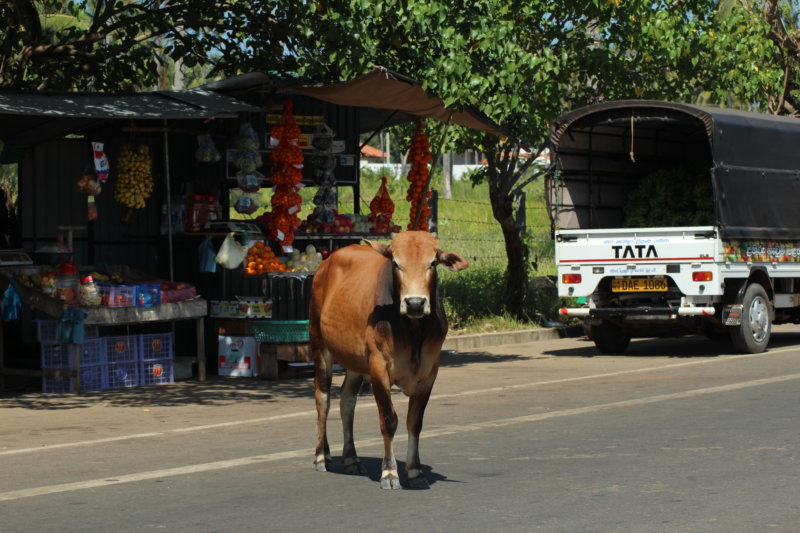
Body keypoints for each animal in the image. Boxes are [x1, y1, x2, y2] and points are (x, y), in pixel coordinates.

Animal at [309, 231, 469, 489]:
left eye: (432, 263)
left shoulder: (430, 372)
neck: (413, 331)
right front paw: (390, 472)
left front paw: (414, 471)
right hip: (320, 346)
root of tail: (327, 262)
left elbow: (415, 422)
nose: (415, 303)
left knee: (347, 401)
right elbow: (389, 420)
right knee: (323, 399)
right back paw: (322, 456)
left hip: (355, 362)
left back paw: (351, 459)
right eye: (395, 263)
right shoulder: (379, 368)